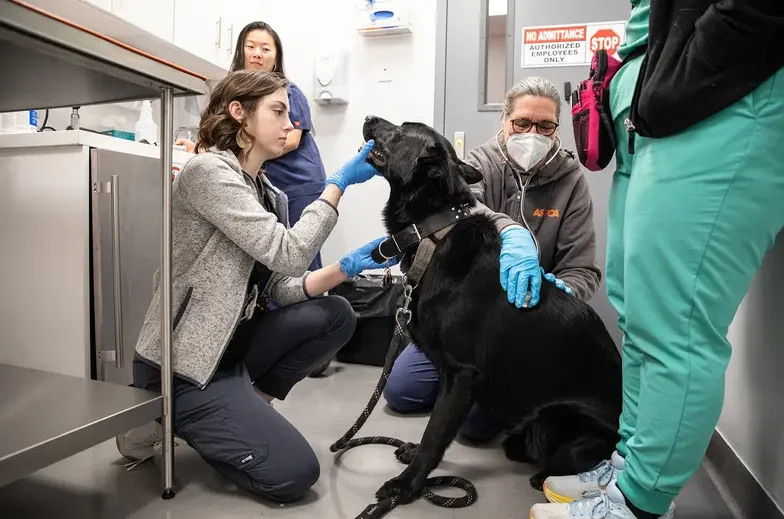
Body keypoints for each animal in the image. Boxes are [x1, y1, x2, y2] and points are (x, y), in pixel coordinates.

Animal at [362, 116, 624, 506]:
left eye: (403, 128)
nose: (367, 119)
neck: (432, 234)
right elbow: (437, 431)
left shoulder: (461, 375)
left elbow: (436, 432)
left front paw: (407, 485)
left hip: (553, 421)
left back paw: (549, 480)